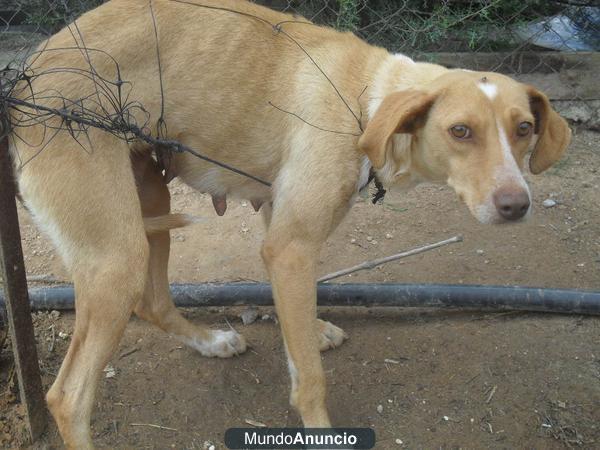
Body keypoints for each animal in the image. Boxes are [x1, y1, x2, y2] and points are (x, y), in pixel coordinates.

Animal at [10, 0, 572, 446]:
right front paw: (320, 426)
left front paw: (307, 332)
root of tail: (25, 80)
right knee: (68, 397)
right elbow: (312, 377)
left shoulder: (277, 229)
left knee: (152, 302)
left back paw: (210, 342)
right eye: (460, 131)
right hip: (116, 257)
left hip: (149, 197)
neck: (368, 98)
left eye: (524, 128)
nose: (516, 204)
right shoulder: (293, 246)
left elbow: (294, 329)